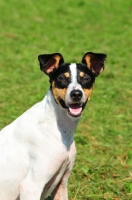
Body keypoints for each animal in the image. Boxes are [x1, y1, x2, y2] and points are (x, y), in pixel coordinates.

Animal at [0, 52, 106, 200]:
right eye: (61, 78)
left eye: (86, 78)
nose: (76, 94)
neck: (55, 127)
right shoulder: (30, 186)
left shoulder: (62, 183)